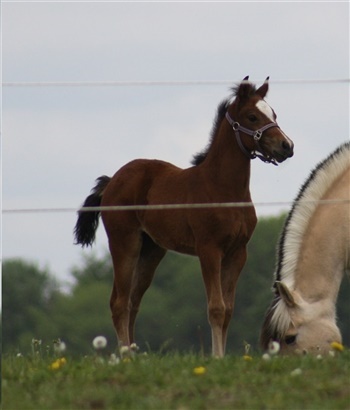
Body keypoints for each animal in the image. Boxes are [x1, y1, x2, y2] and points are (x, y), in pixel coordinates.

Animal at [75, 77, 294, 356]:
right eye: (252, 116)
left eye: (273, 113)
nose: (287, 146)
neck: (223, 188)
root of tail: (113, 180)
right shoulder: (208, 249)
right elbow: (216, 307)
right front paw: (217, 357)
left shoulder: (238, 252)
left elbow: (229, 309)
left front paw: (222, 354)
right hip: (124, 243)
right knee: (119, 302)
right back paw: (125, 355)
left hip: (151, 250)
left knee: (133, 301)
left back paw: (135, 353)